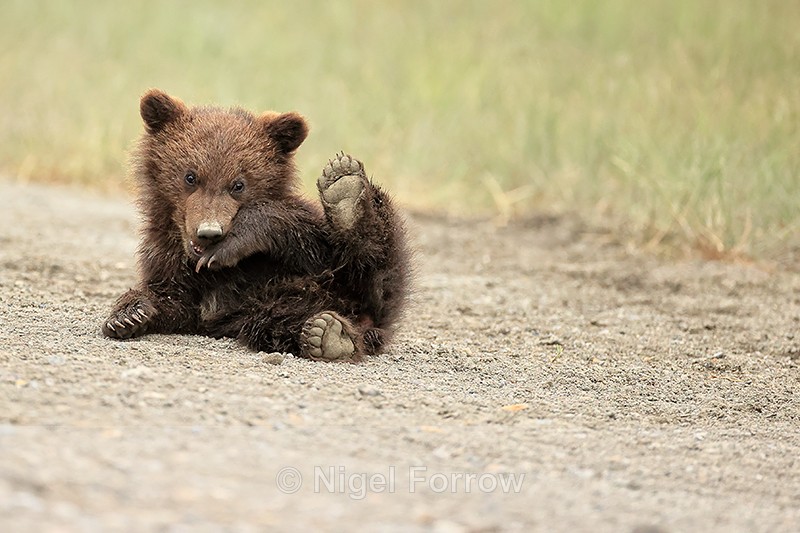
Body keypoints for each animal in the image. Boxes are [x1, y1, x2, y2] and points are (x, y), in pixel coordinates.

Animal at [101, 89, 410, 362]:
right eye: (190, 176)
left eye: (238, 184)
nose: (209, 233)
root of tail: (367, 322)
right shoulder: (166, 256)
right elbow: (172, 298)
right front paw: (128, 314)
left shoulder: (303, 244)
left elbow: (314, 244)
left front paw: (231, 244)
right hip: (266, 308)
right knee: (275, 321)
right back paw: (328, 334)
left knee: (377, 269)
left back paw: (344, 190)